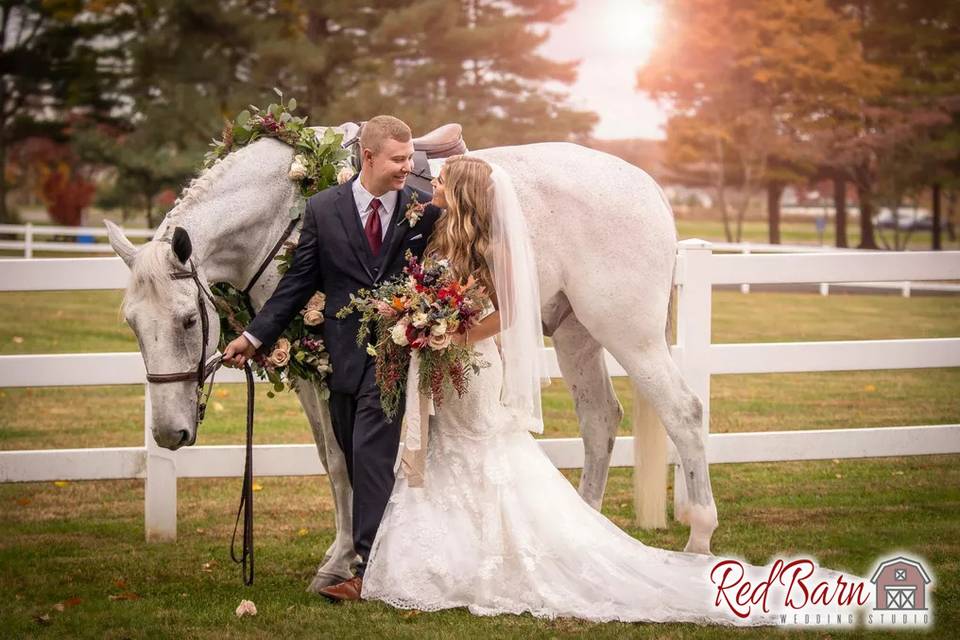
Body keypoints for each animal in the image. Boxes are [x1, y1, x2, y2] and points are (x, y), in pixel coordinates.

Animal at [107, 127, 720, 592]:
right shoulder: (307, 370)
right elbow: (331, 460)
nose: (168, 433)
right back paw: (587, 532)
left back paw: (698, 540)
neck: (287, 207)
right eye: (132, 322)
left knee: (685, 414)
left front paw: (349, 561)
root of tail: (647, 187)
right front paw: (340, 556)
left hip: (628, 333)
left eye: (188, 321)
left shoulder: (332, 369)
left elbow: (347, 459)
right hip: (577, 333)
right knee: (599, 420)